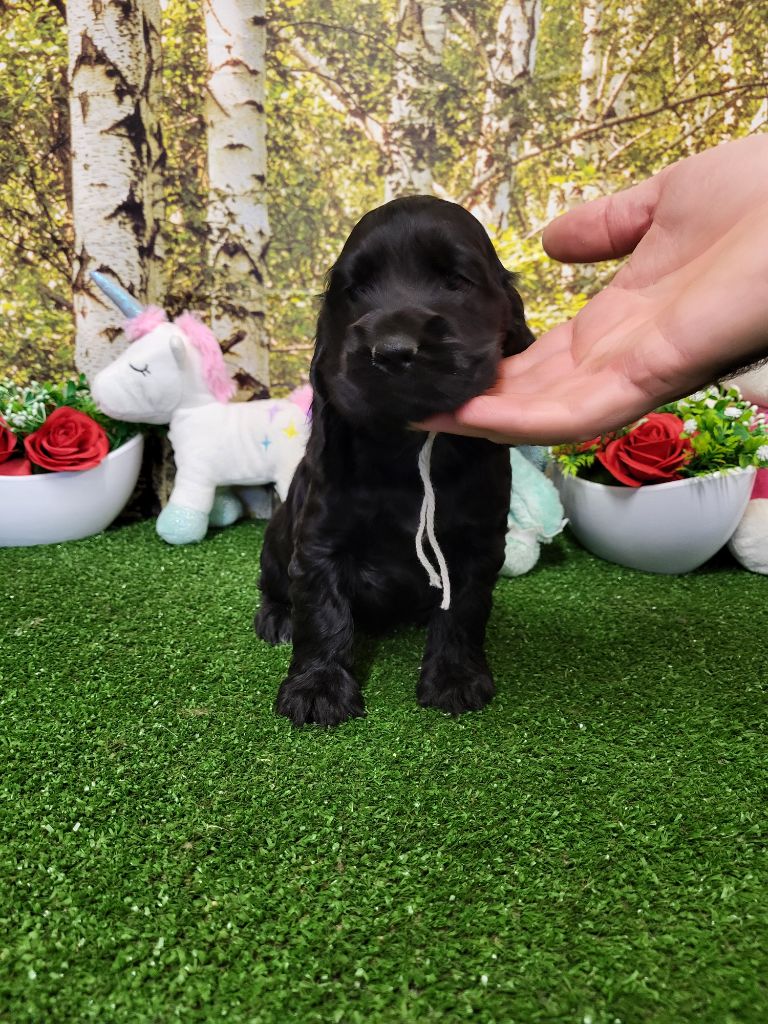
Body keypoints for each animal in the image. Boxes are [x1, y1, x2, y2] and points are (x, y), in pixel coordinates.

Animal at [255, 195, 533, 725]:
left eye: (456, 280)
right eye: (355, 290)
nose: (392, 351)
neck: (406, 449)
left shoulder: (477, 543)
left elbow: (462, 610)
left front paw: (455, 679)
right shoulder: (320, 539)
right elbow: (322, 612)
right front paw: (317, 688)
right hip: (278, 537)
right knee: (274, 584)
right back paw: (275, 618)